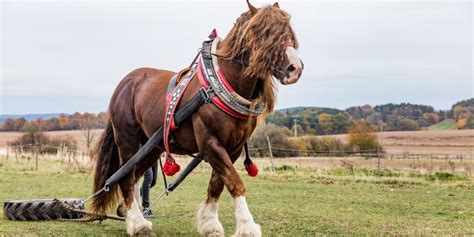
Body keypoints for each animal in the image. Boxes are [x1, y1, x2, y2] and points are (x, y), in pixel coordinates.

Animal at [90, 1, 302, 235]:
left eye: (289, 33)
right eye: (264, 32)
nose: (295, 68)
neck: (218, 86)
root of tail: (126, 81)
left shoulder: (233, 148)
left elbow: (217, 184)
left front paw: (210, 224)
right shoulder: (210, 143)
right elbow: (234, 182)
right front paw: (247, 227)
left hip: (152, 145)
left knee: (135, 173)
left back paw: (130, 214)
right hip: (127, 137)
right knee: (126, 177)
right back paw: (138, 223)